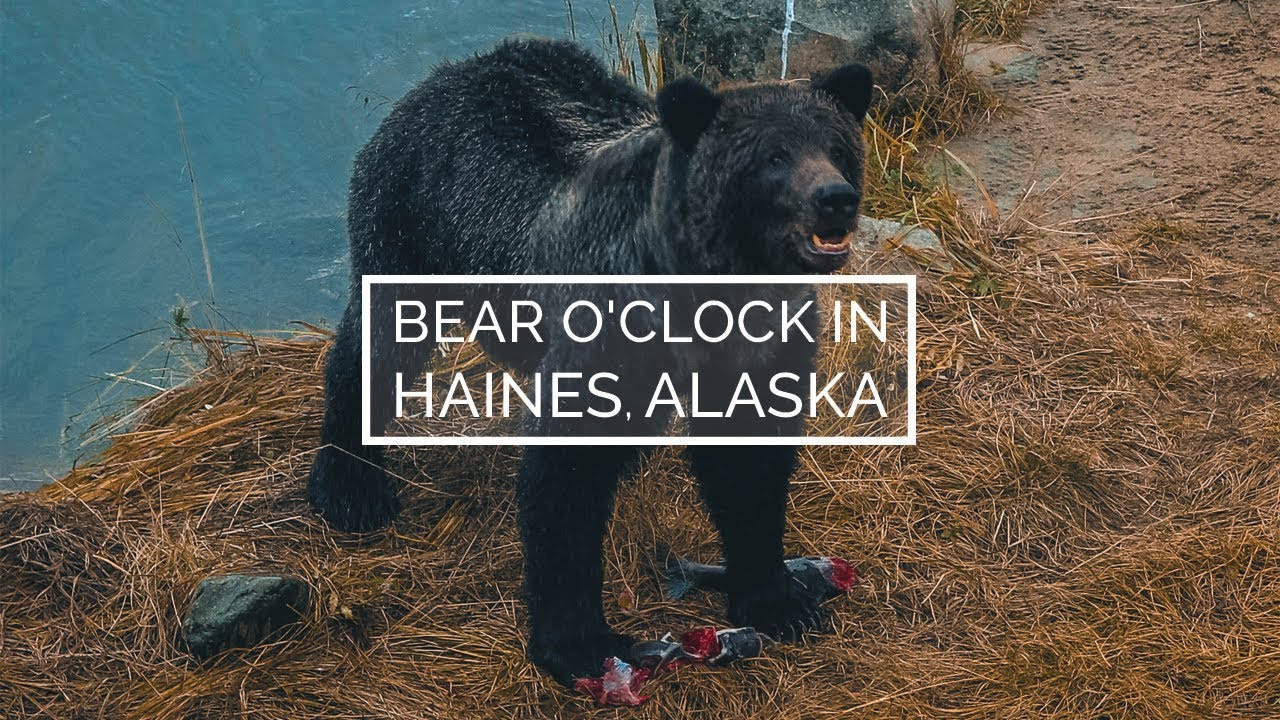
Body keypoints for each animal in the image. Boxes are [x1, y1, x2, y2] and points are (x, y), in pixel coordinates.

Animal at [307, 38, 872, 685]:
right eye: (774, 156)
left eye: (837, 147)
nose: (835, 199)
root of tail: (455, 70)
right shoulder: (607, 324)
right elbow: (565, 482)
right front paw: (580, 643)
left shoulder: (756, 347)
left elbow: (749, 466)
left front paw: (777, 599)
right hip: (408, 222)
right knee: (376, 345)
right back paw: (351, 487)